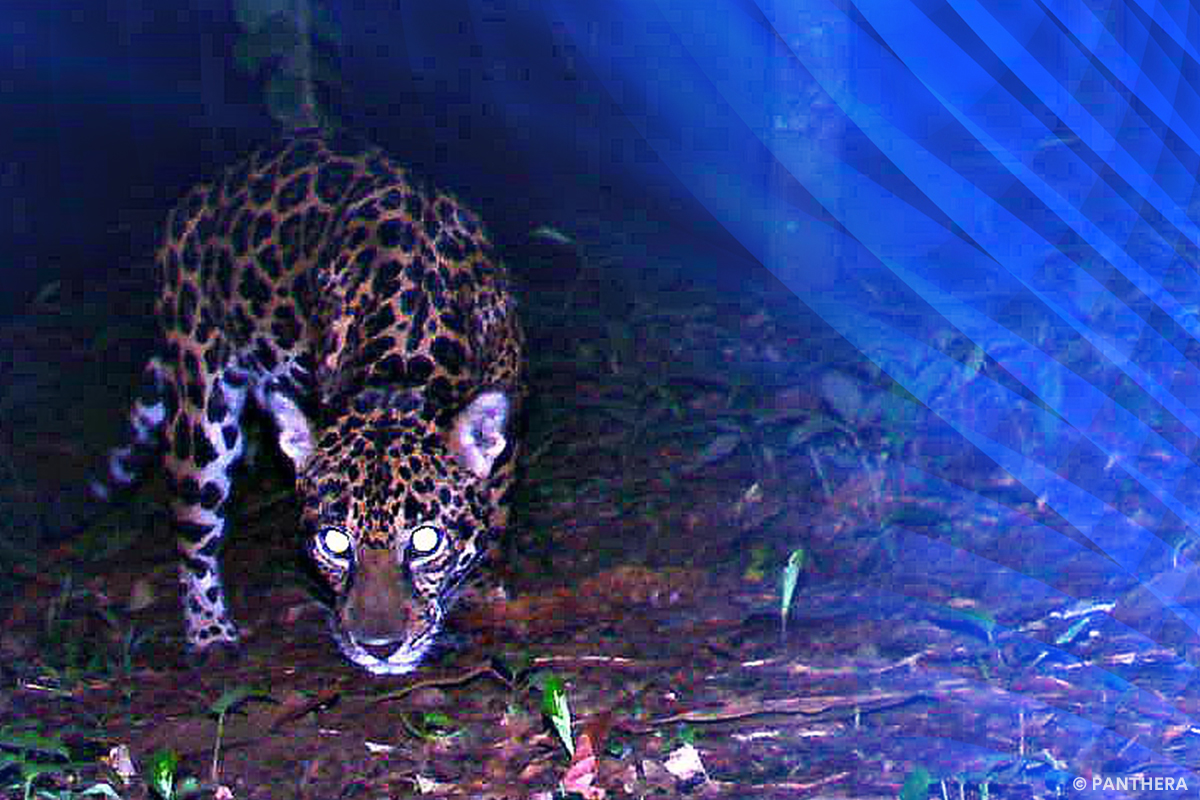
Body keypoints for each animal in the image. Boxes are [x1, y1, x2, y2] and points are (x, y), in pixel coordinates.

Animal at [89, 131, 523, 675]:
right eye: (334, 542)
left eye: (426, 540)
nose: (378, 647)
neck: (405, 360)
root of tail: (200, 198)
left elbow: (496, 505)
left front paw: (481, 579)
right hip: (201, 406)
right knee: (194, 530)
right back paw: (210, 634)